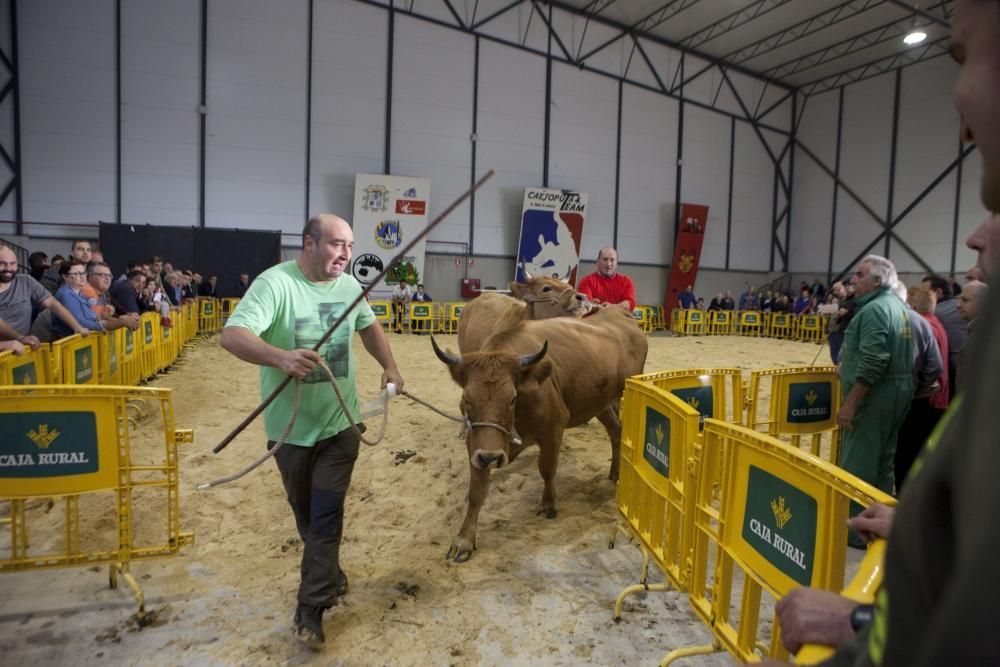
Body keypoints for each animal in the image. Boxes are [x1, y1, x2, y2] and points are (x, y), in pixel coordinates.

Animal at [430, 308, 648, 564]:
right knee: (615, 430)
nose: (491, 457)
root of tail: (618, 312)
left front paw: (548, 504)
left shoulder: (553, 430)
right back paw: (614, 473)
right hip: (600, 403)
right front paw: (463, 540)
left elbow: (547, 469)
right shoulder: (476, 444)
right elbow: (476, 492)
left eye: (512, 398)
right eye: (466, 399)